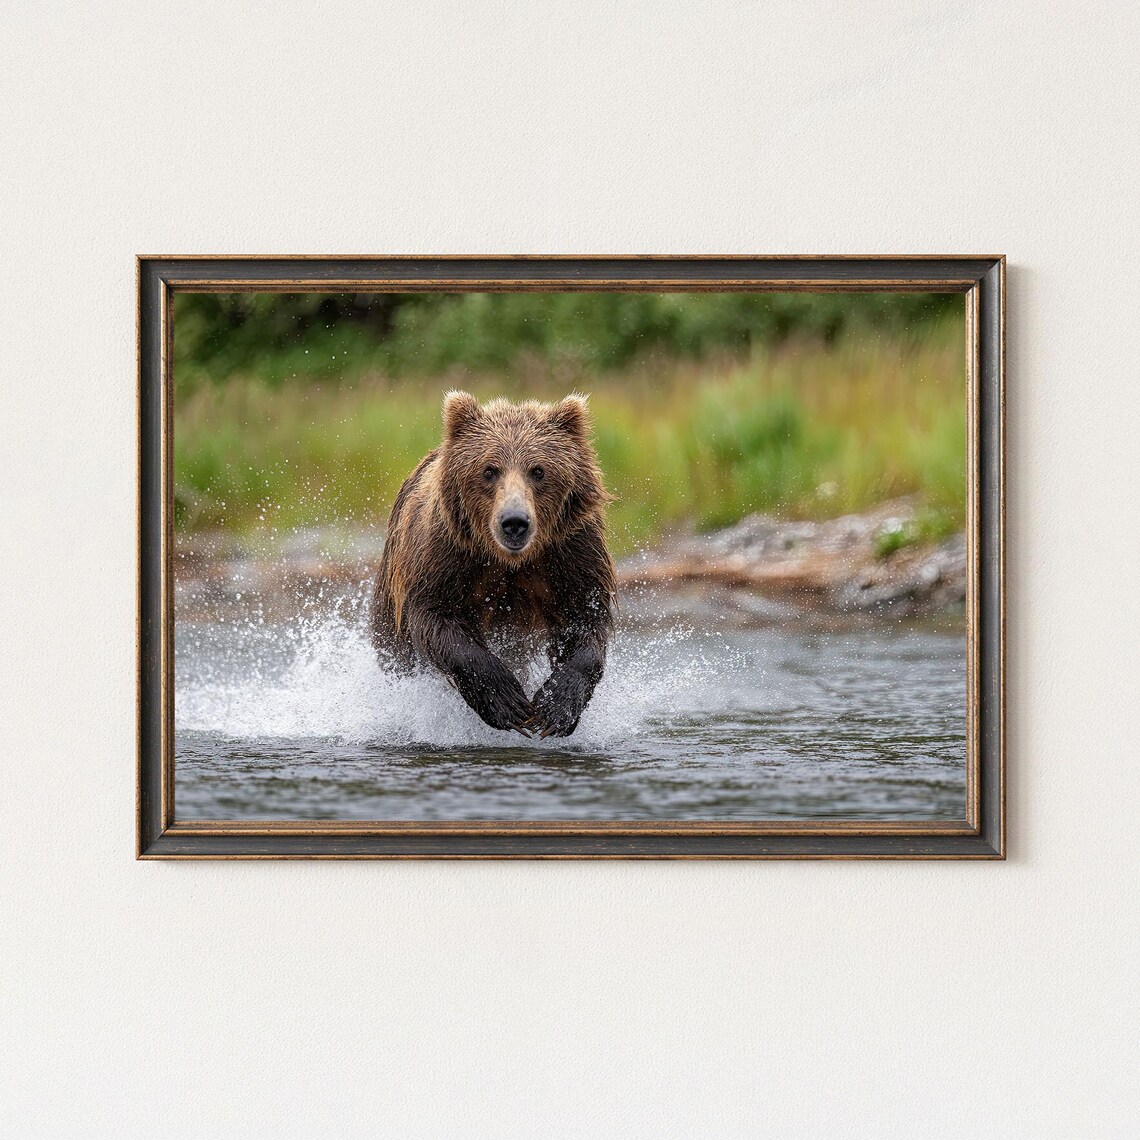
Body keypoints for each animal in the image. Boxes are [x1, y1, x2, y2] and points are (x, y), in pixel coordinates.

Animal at [370, 390, 616, 738]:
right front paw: (507, 702)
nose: (514, 522)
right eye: (489, 470)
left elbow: (584, 620)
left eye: (538, 470)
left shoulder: (571, 552)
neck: (511, 560)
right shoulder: (446, 553)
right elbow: (438, 618)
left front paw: (554, 708)